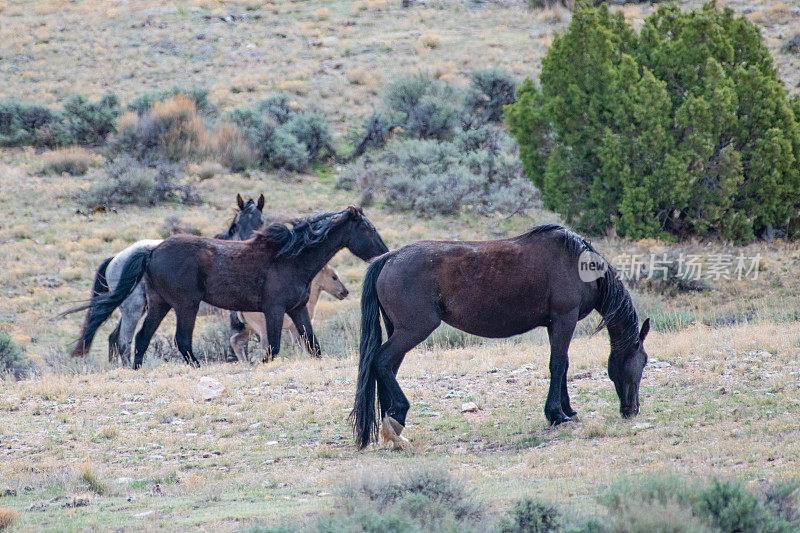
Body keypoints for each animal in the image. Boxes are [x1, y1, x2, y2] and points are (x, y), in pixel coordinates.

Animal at [80, 206, 388, 368]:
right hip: (184, 305)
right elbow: (273, 348)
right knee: (179, 340)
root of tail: (153, 251)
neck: (291, 257)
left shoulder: (297, 310)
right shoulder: (274, 310)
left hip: (159, 304)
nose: (385, 254)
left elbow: (314, 347)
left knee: (141, 339)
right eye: (370, 229)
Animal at [350, 224, 648, 448]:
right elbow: (558, 364)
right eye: (643, 362)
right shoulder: (565, 318)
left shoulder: (555, 324)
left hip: (400, 332)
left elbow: (562, 365)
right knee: (381, 361)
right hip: (413, 330)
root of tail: (388, 258)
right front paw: (557, 414)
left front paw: (567, 410)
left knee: (387, 368)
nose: (632, 410)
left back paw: (393, 423)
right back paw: (398, 415)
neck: (579, 263)